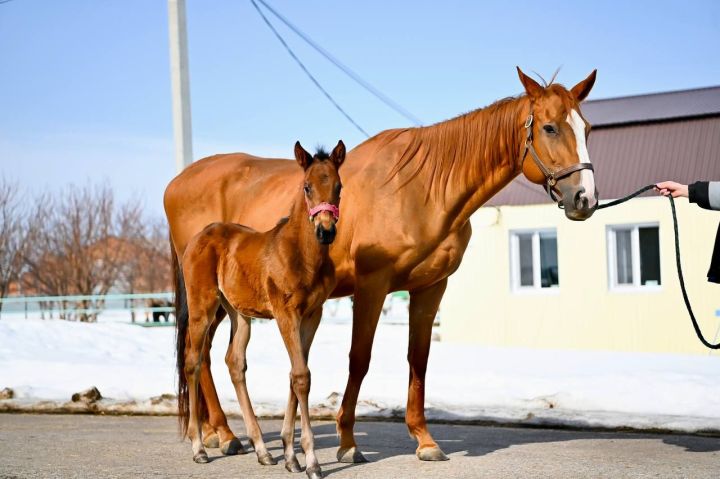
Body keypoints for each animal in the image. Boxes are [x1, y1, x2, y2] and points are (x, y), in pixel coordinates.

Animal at [179, 141, 344, 478]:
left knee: (234, 362)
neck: (302, 256)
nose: (326, 231)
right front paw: (311, 461)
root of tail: (197, 238)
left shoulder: (313, 315)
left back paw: (262, 451)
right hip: (204, 308)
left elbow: (296, 375)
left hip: (238, 314)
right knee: (193, 361)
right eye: (306, 187)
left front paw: (290, 455)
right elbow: (301, 376)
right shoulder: (285, 314)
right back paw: (199, 448)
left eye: (338, 186)